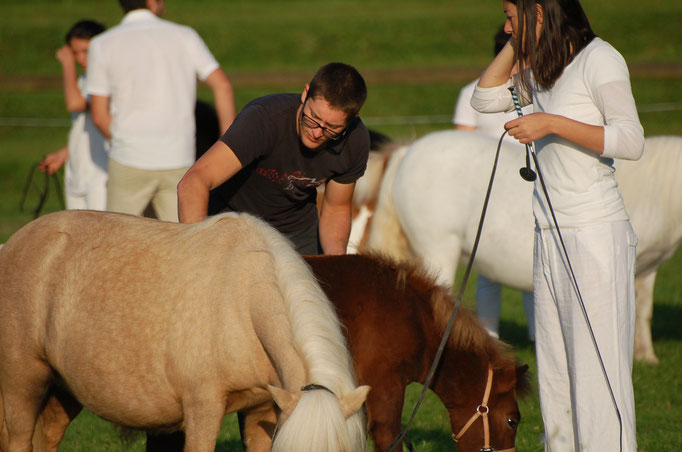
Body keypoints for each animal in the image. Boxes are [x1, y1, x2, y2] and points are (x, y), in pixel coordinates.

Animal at [0, 210, 366, 450]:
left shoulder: (262, 411)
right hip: (22, 384)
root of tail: (11, 245)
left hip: (62, 389)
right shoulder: (202, 410)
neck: (241, 299)